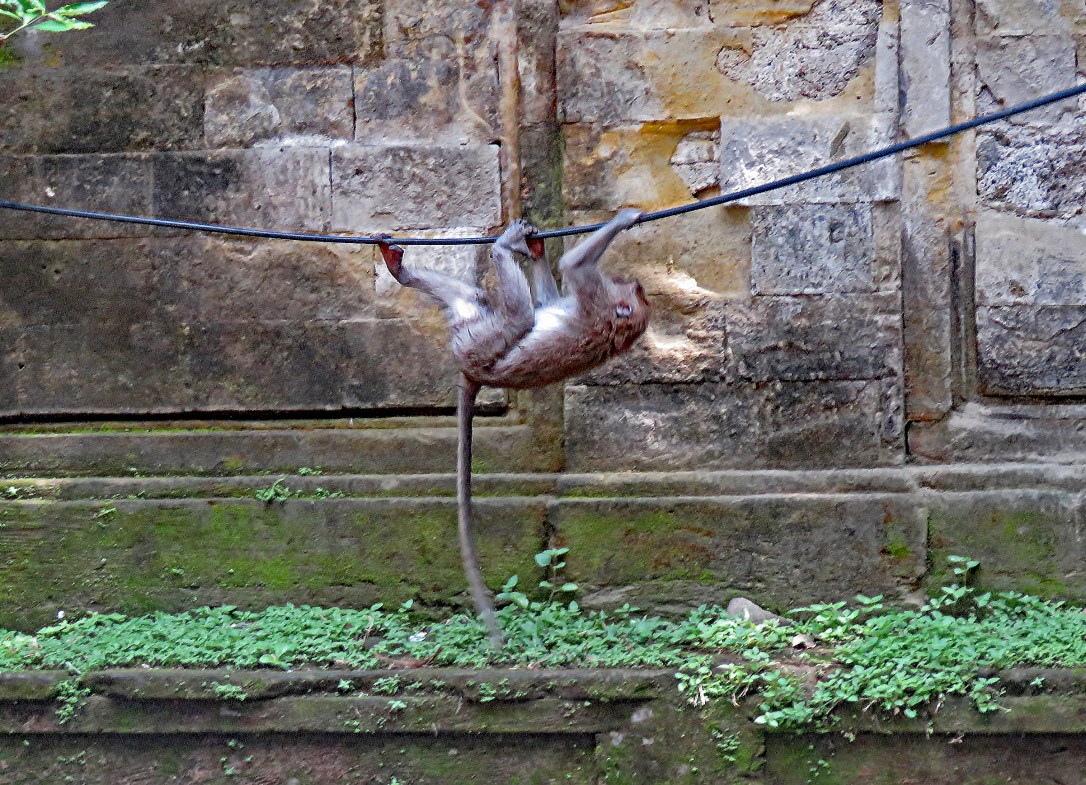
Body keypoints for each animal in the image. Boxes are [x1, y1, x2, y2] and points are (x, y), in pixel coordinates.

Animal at [377, 209, 649, 647]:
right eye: (640, 295)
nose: (640, 284)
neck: (613, 324)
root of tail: (473, 372)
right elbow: (551, 298)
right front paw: (536, 248)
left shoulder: (596, 300)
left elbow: (572, 267)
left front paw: (624, 218)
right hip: (474, 333)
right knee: (477, 300)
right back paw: (402, 270)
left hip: (481, 343)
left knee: (518, 315)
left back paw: (500, 249)